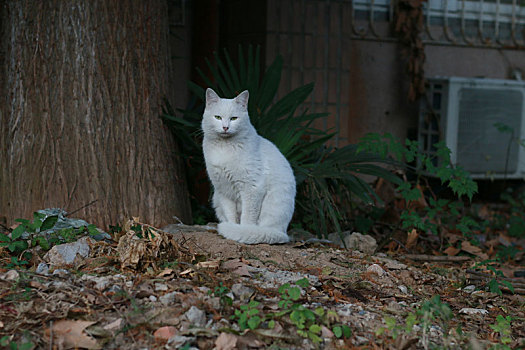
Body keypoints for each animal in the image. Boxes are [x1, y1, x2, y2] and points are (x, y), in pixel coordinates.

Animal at [203, 89, 294, 245]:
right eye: (218, 117)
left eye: (234, 118)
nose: (225, 127)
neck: (224, 147)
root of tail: (283, 232)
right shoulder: (223, 190)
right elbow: (231, 214)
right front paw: (232, 227)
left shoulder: (252, 188)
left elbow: (247, 218)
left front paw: (242, 231)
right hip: (216, 199)